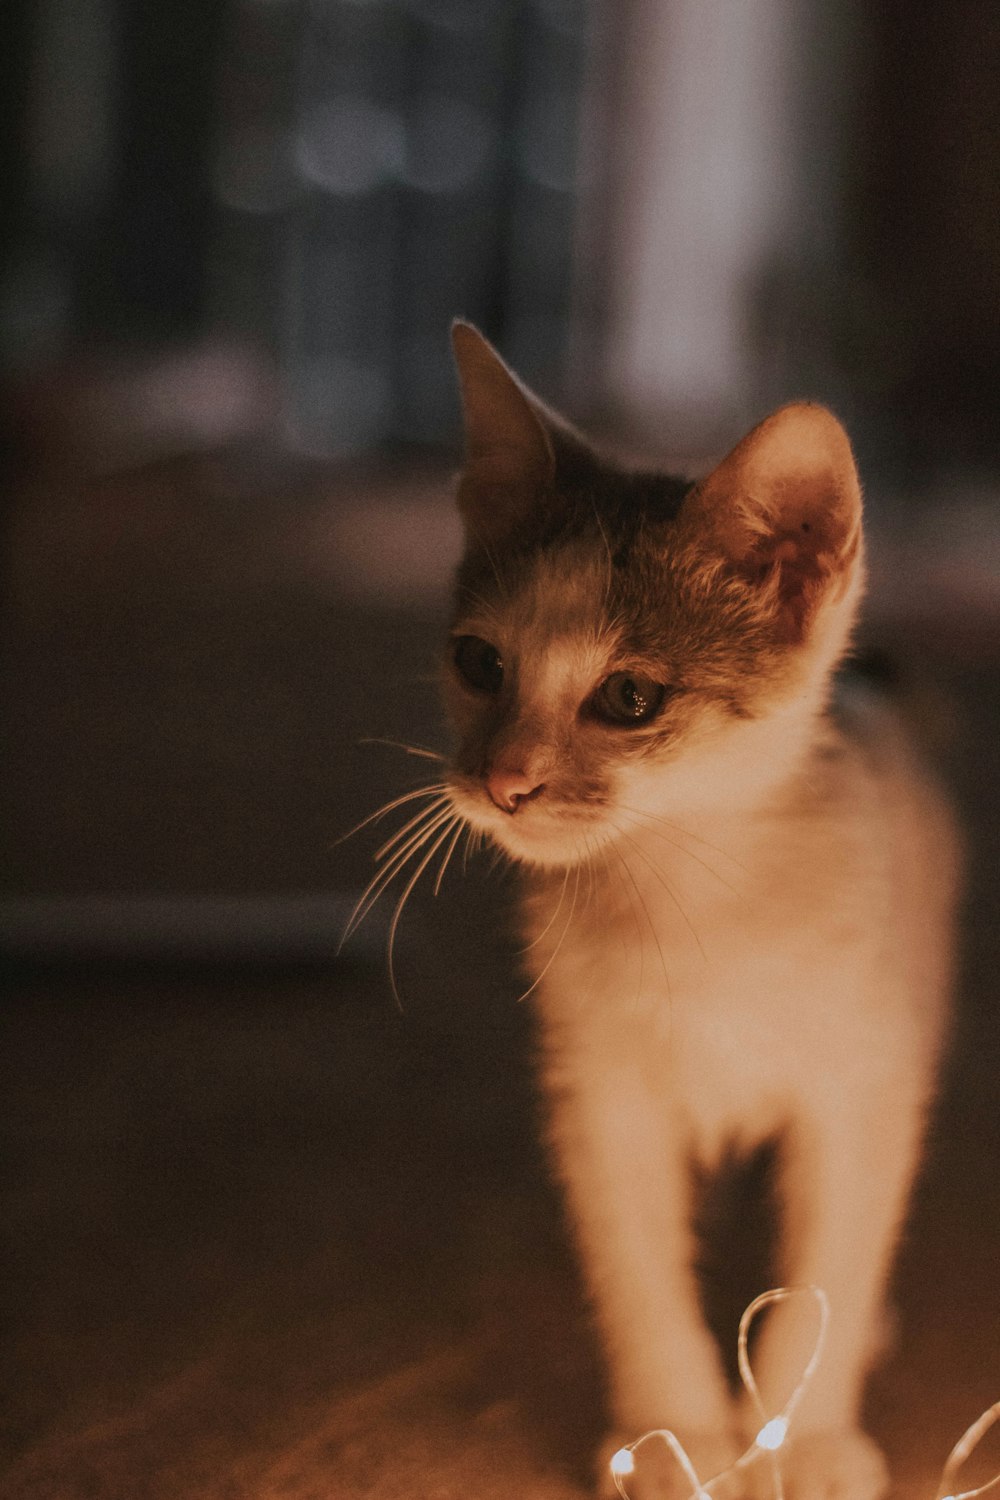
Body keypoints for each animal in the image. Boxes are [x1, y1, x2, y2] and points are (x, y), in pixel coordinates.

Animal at [434, 322, 959, 1494]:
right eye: (478, 663)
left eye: (630, 698)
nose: (502, 782)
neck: (699, 899)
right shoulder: (599, 1095)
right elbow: (635, 1262)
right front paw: (674, 1433)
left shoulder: (862, 1084)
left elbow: (833, 1250)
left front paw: (801, 1435)